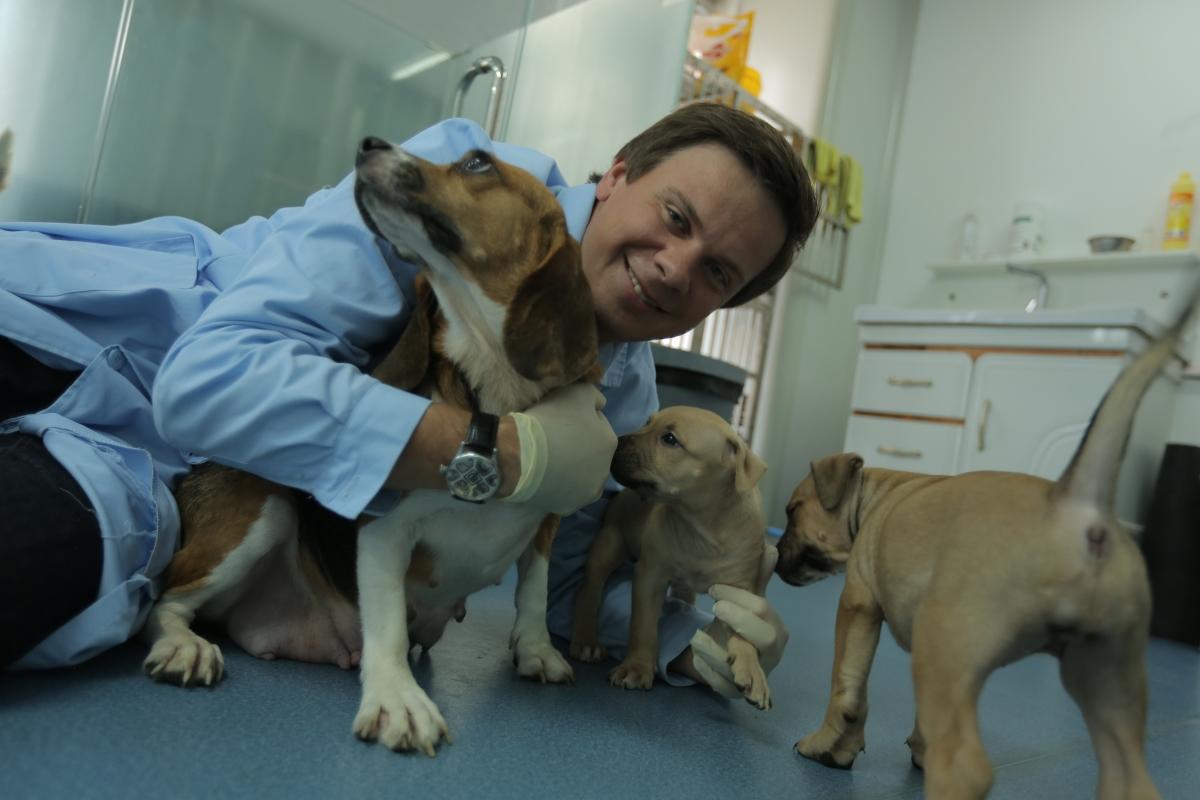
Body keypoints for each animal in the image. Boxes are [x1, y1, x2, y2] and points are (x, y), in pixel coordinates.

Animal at [568, 407, 772, 705]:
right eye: (647, 422)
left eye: (670, 439)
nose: (616, 440)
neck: (702, 525)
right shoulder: (650, 576)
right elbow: (642, 626)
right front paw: (637, 667)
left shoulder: (740, 591)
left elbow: (743, 631)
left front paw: (753, 669)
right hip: (609, 543)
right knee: (589, 590)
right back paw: (585, 640)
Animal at [772, 286, 1195, 796]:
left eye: (792, 511)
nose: (774, 557)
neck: (876, 497)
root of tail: (1073, 502)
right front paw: (913, 747)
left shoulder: (858, 604)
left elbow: (847, 687)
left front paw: (829, 746)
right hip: (1106, 677)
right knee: (1127, 775)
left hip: (949, 638)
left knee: (967, 765)